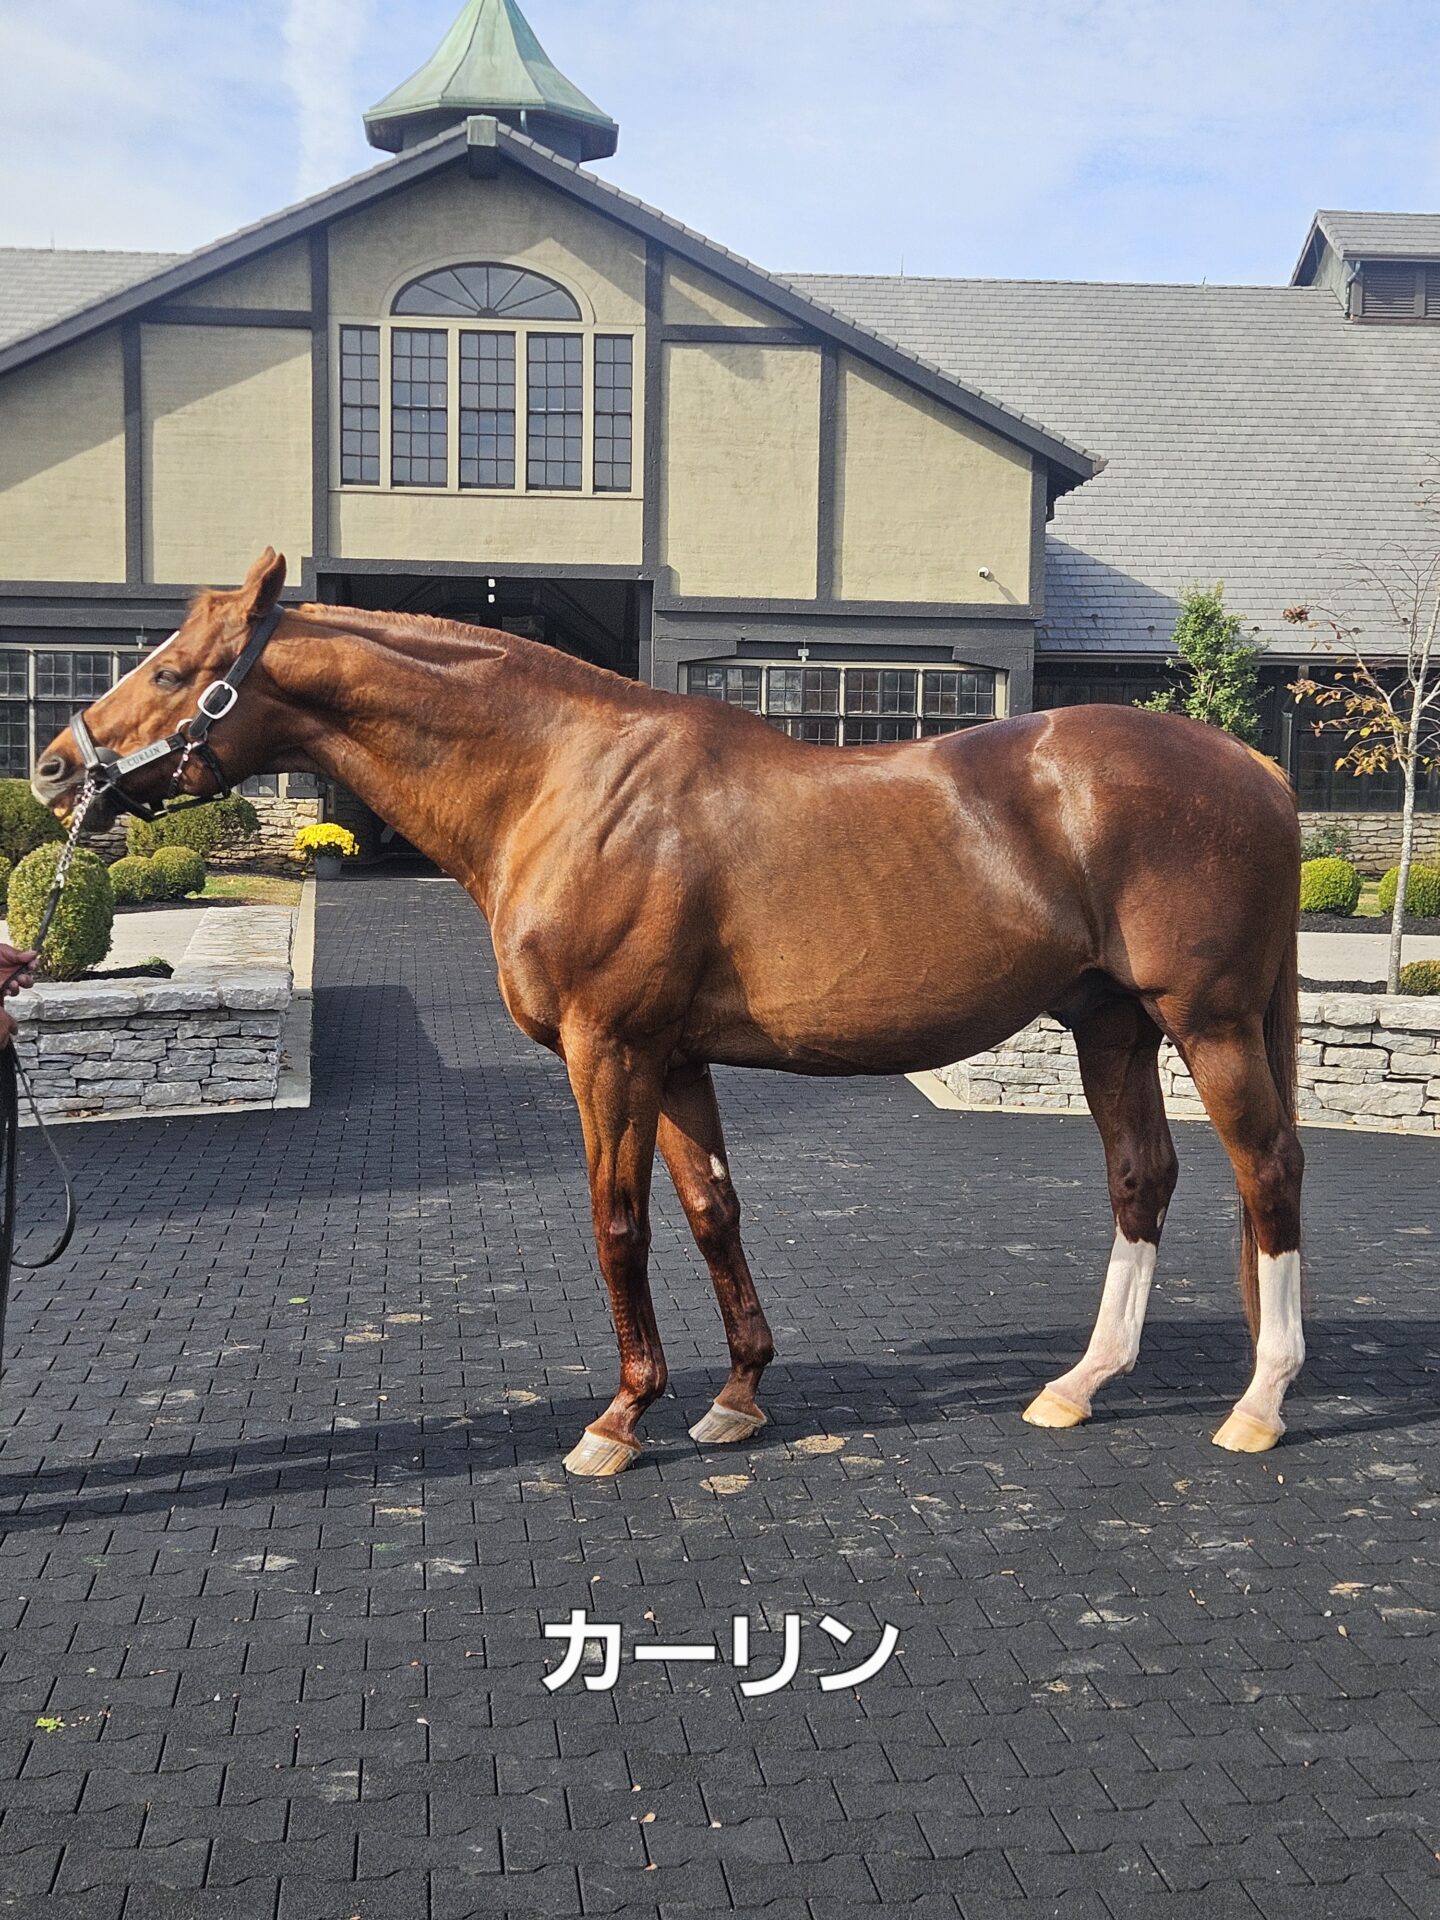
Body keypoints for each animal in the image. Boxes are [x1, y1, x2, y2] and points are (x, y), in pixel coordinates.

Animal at [33, 550, 1305, 1476]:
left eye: (170, 668)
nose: (53, 771)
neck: (564, 778)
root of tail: (1255, 765)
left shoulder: (610, 1050)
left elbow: (620, 1223)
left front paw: (620, 1418)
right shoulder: (680, 1058)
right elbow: (710, 1213)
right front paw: (737, 1397)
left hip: (1210, 1023)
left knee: (1268, 1173)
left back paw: (1259, 1402)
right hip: (1111, 1025)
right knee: (1142, 1178)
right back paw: (1081, 1384)